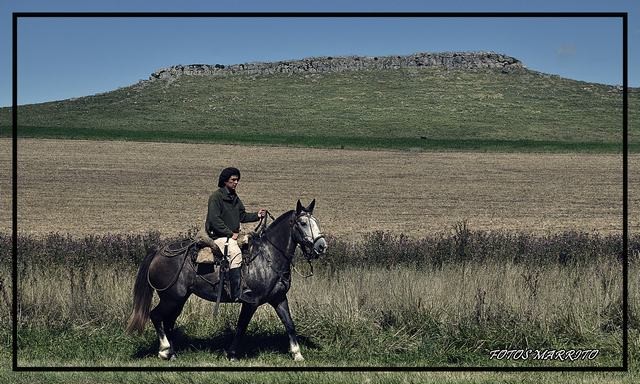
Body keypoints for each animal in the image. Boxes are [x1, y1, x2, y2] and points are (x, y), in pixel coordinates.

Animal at [125, 200, 328, 362]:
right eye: (303, 223)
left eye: (316, 222)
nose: (322, 246)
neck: (269, 256)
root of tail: (159, 252)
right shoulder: (251, 303)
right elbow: (241, 327)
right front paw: (231, 354)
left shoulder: (279, 299)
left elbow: (290, 324)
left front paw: (297, 354)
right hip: (171, 298)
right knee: (156, 316)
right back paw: (164, 350)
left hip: (178, 300)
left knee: (168, 322)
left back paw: (172, 353)